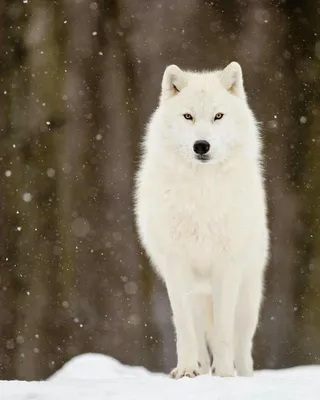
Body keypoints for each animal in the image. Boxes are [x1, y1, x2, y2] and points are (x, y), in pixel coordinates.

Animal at [134, 61, 268, 378]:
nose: (201, 145)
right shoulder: (176, 266)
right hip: (197, 296)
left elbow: (223, 333)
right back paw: (201, 369)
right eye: (188, 116)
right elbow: (184, 329)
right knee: (199, 336)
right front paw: (186, 370)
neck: (202, 193)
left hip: (248, 297)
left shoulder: (227, 267)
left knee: (242, 346)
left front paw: (225, 374)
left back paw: (241, 375)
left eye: (218, 116)